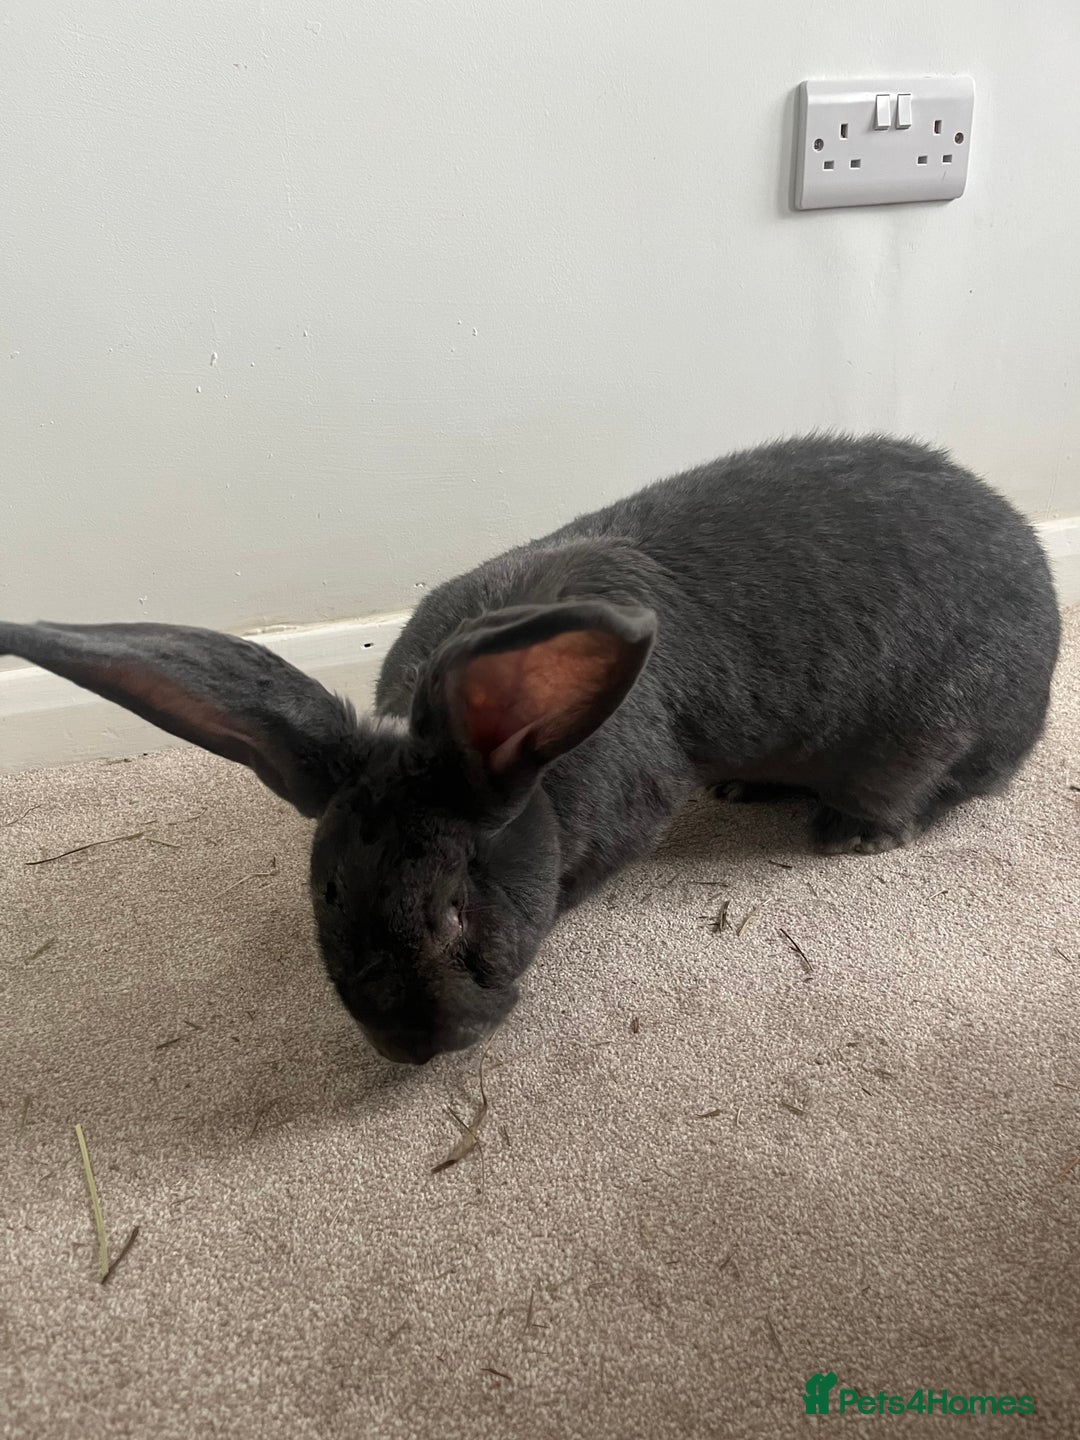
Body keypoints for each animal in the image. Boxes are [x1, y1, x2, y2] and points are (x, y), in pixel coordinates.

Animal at [1, 435, 1061, 1064]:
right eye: (329, 891)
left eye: (452, 912)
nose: (413, 1046)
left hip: (926, 728)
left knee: (922, 784)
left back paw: (848, 833)